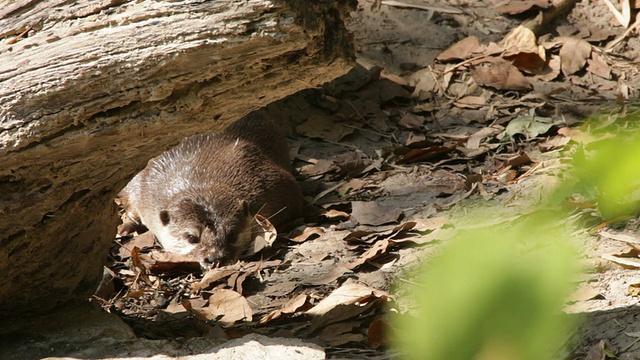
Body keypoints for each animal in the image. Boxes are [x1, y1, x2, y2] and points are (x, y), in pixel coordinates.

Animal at [116, 112, 304, 268]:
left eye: (232, 234)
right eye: (191, 237)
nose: (215, 258)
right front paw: (127, 225)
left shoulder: (272, 182)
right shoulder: (144, 179)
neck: (199, 175)